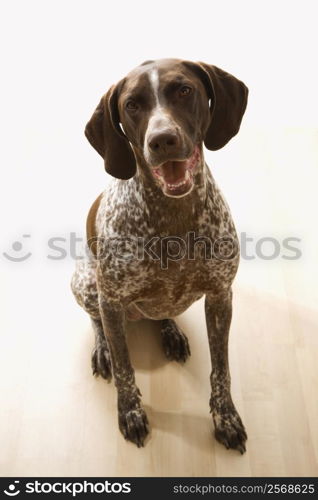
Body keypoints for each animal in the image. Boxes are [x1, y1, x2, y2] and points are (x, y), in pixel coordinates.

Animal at [71, 58, 248, 454]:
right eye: (132, 105)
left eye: (184, 90)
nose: (162, 140)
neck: (172, 217)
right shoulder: (111, 299)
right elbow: (125, 370)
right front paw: (131, 412)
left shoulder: (220, 297)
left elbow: (222, 370)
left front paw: (226, 417)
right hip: (85, 284)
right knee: (97, 321)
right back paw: (104, 349)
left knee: (163, 313)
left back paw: (171, 332)